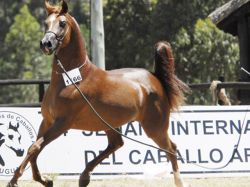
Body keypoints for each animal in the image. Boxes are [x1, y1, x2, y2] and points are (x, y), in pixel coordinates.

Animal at [6, 0, 188, 186]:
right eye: (45, 23)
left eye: (62, 23)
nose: (45, 44)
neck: (71, 79)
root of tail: (154, 78)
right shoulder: (47, 121)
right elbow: (34, 149)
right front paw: (43, 180)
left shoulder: (62, 123)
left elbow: (34, 147)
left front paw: (15, 180)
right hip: (109, 124)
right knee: (116, 144)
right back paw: (84, 176)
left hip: (155, 127)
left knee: (171, 149)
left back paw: (179, 181)